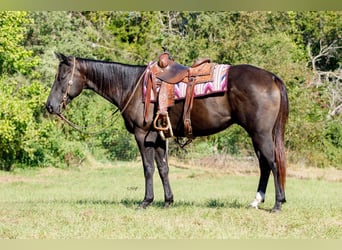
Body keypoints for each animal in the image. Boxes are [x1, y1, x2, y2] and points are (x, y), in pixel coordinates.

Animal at [46, 51, 288, 212]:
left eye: (61, 77)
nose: (50, 106)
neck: (131, 86)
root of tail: (272, 78)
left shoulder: (143, 135)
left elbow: (148, 168)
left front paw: (146, 201)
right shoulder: (159, 137)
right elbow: (163, 169)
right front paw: (168, 201)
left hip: (261, 134)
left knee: (273, 163)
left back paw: (277, 203)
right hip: (257, 135)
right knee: (264, 165)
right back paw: (256, 201)